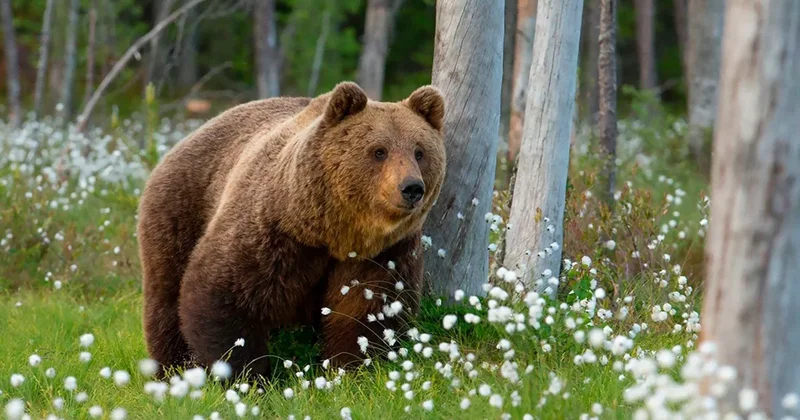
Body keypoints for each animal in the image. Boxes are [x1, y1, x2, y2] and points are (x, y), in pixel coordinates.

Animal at [136, 82, 446, 378]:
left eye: (419, 152)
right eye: (379, 151)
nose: (411, 188)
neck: (333, 233)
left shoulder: (383, 253)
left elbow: (368, 309)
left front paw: (350, 367)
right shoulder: (273, 232)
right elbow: (221, 294)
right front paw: (247, 375)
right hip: (180, 210)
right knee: (166, 295)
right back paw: (170, 367)